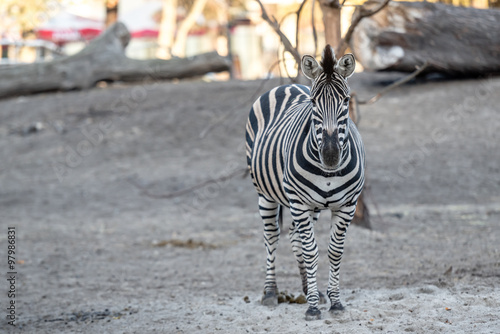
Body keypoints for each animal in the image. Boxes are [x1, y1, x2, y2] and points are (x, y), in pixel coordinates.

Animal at [245, 45, 366, 320]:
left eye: (346, 101)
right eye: (313, 103)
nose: (330, 156)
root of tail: (288, 85)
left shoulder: (347, 205)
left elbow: (334, 251)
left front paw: (334, 302)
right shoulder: (298, 202)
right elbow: (312, 251)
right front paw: (312, 308)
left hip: (311, 207)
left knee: (294, 237)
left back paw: (308, 289)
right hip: (266, 195)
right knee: (272, 237)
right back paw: (271, 293)